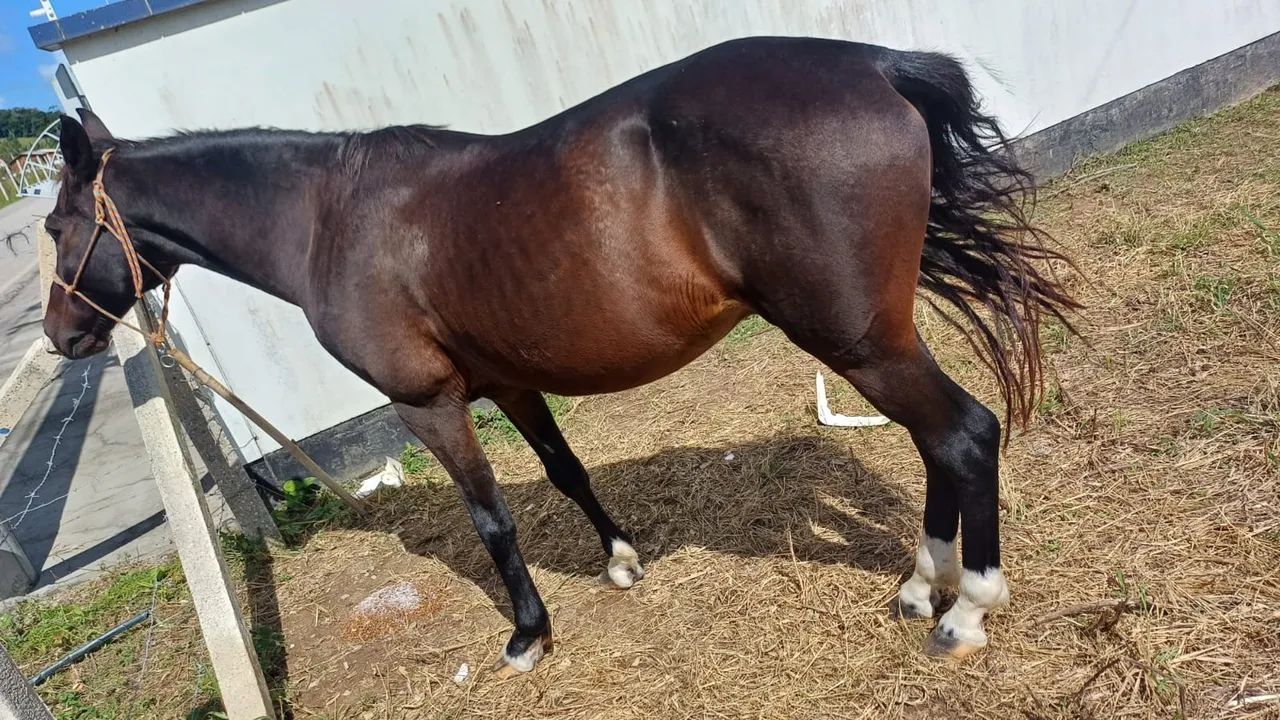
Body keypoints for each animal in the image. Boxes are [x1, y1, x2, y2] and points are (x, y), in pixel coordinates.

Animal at [42, 36, 1077, 675]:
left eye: (56, 228)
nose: (60, 336)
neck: (331, 218)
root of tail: (874, 65)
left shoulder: (429, 403)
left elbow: (491, 520)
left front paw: (528, 633)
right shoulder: (508, 383)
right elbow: (565, 470)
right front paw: (619, 561)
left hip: (854, 340)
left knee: (963, 433)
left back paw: (966, 608)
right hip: (877, 337)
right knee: (935, 441)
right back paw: (919, 587)